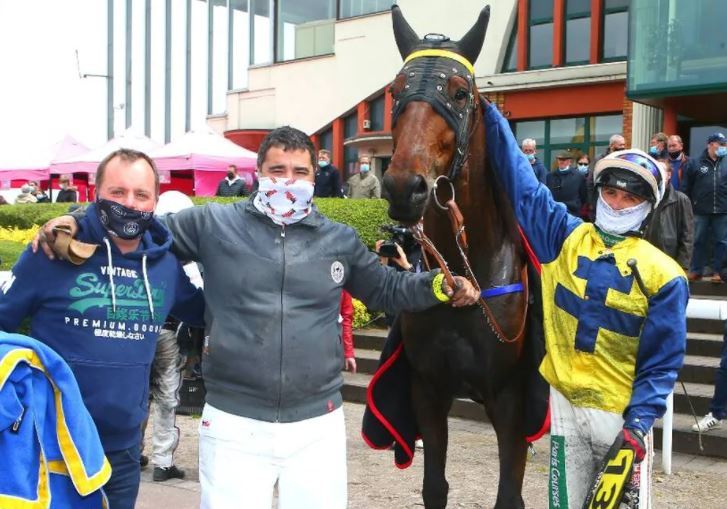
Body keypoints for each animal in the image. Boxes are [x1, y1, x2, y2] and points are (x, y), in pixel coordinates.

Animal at [384, 4, 536, 508]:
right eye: (395, 91)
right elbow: (435, 486)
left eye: (459, 92)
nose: (403, 187)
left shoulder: (511, 401)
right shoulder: (427, 390)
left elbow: (509, 494)